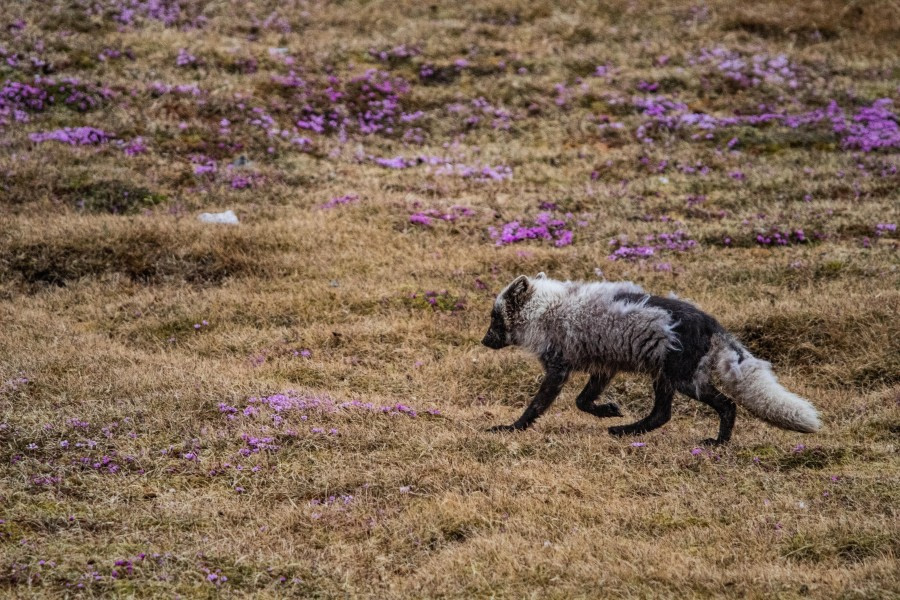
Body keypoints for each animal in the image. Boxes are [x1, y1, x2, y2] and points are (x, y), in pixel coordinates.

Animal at [482, 274, 820, 442]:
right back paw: (623, 431)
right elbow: (583, 401)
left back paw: (718, 443)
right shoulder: (604, 367)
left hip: (683, 380)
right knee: (661, 415)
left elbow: (536, 406)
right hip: (664, 377)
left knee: (727, 405)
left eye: (494, 318)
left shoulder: (558, 368)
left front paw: (512, 428)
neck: (545, 308)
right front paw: (609, 411)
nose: (483, 341)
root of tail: (711, 322)